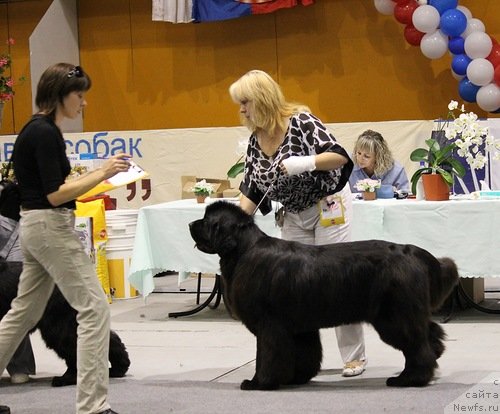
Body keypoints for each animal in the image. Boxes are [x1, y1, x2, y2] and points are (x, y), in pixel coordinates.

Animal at [189, 202, 458, 390]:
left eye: (207, 221)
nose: (190, 224)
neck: (243, 251)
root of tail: (411, 251)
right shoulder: (297, 327)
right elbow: (303, 354)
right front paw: (295, 378)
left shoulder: (269, 325)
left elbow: (266, 356)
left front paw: (259, 383)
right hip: (405, 312)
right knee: (430, 333)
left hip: (394, 317)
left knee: (418, 347)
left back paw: (409, 379)